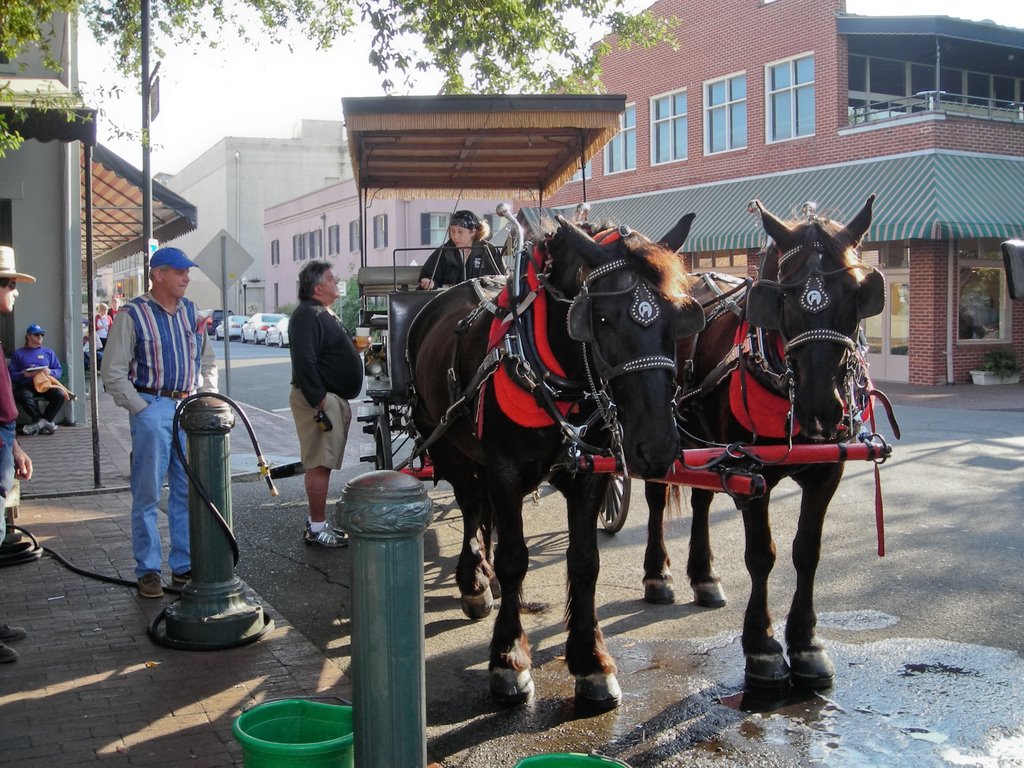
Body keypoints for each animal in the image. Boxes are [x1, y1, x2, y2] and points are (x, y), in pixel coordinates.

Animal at [407, 214, 704, 712]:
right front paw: (508, 659)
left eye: (678, 319)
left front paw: (590, 662)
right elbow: (514, 559)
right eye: (601, 319)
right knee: (470, 507)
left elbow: (585, 561)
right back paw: (474, 582)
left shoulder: (587, 476)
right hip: (445, 439)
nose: (659, 446)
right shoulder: (504, 471)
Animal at [643, 192, 884, 692]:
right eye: (784, 298)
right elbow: (761, 556)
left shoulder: (826, 472)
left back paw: (704, 575)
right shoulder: (752, 473)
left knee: (701, 501)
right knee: (657, 499)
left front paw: (807, 644)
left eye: (857, 294)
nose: (821, 408)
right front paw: (762, 646)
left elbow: (807, 553)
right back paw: (657, 575)